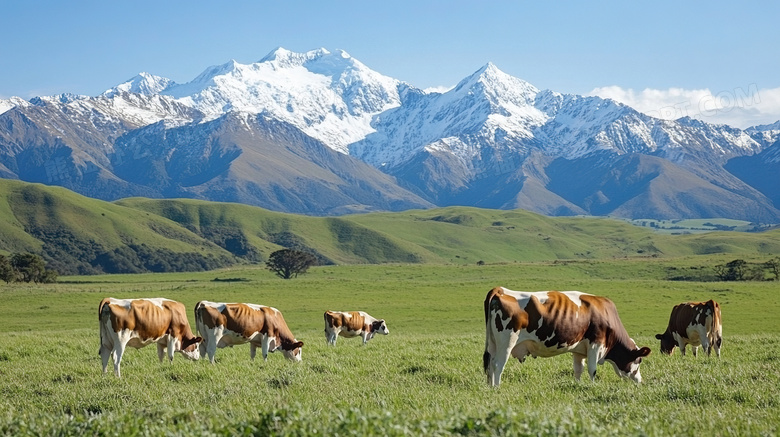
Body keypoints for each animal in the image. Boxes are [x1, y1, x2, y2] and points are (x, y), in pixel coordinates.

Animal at [484, 286, 648, 384]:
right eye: (639, 360)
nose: (640, 381)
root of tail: (501, 290)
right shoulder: (596, 344)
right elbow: (592, 369)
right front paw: (593, 386)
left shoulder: (579, 350)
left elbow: (578, 369)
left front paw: (578, 385)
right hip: (506, 342)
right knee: (498, 364)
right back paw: (497, 387)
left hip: (493, 343)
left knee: (490, 364)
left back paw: (491, 387)